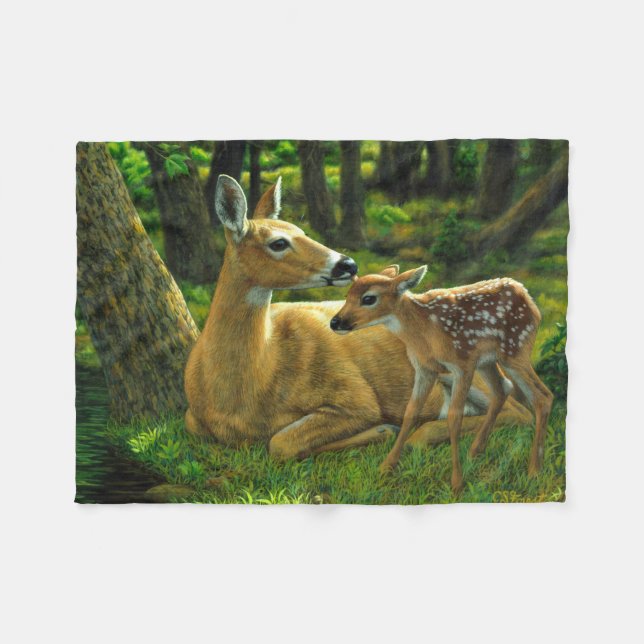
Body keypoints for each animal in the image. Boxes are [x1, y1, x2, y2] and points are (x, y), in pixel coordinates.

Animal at [184, 176, 532, 465]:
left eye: (303, 231)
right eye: (278, 242)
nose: (348, 264)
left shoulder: (354, 396)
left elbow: (280, 443)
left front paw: (382, 430)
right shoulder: (192, 419)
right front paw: (382, 431)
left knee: (517, 410)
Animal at [331, 265, 553, 492]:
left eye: (368, 298)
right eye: (347, 295)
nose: (335, 322)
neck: (424, 331)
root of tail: (527, 296)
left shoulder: (462, 364)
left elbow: (454, 417)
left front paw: (456, 483)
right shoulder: (424, 368)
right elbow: (410, 412)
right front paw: (386, 467)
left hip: (515, 348)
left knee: (542, 396)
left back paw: (534, 471)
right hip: (488, 361)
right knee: (502, 389)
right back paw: (475, 452)